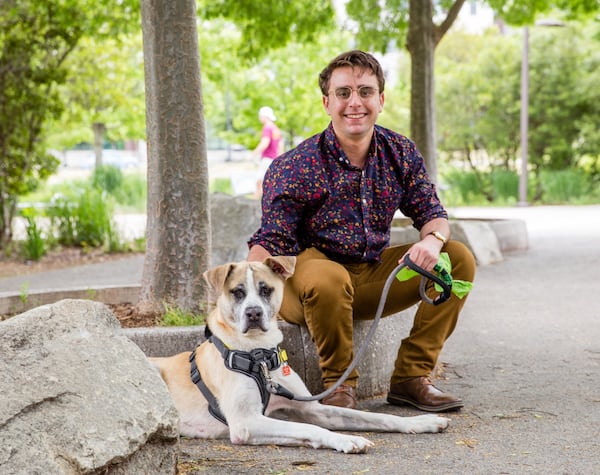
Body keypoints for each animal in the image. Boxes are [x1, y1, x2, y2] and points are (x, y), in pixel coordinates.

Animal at [150, 256, 450, 454]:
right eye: (237, 292)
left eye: (265, 289)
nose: (253, 313)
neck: (260, 355)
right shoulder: (245, 423)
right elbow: (311, 429)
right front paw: (347, 440)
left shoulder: (311, 408)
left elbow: (377, 418)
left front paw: (420, 422)